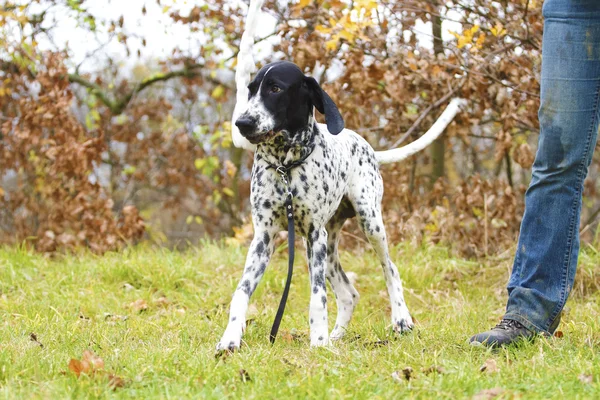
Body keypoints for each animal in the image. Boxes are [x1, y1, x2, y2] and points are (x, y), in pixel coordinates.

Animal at [216, 60, 418, 354]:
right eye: (251, 90)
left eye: (275, 88)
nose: (242, 123)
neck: (285, 165)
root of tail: (367, 145)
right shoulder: (263, 239)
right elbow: (241, 292)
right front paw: (230, 337)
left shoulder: (314, 234)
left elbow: (317, 296)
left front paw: (318, 341)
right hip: (326, 249)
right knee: (348, 294)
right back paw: (336, 336)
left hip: (366, 225)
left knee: (390, 269)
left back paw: (400, 319)